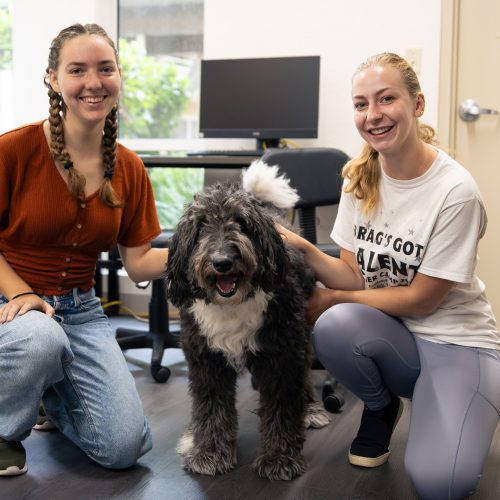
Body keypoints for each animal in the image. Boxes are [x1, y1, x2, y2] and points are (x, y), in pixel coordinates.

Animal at [166, 160, 330, 480]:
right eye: (201, 225)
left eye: (241, 223)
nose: (222, 261)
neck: (232, 303)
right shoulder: (206, 360)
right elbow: (211, 408)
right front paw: (210, 453)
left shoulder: (283, 356)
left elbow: (281, 408)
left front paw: (279, 458)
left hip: (301, 335)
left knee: (304, 374)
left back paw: (310, 410)